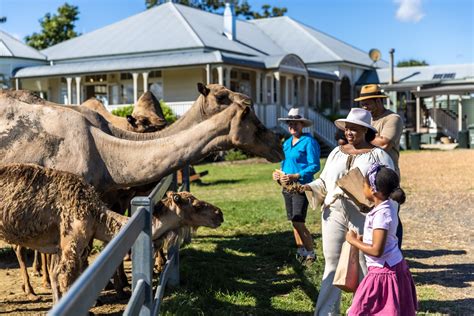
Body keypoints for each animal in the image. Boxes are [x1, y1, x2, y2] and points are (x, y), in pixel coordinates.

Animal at [0, 163, 223, 304]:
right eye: (196, 205)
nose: (219, 214)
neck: (95, 214)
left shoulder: (58, 246)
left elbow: (56, 279)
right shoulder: (73, 240)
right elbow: (65, 280)